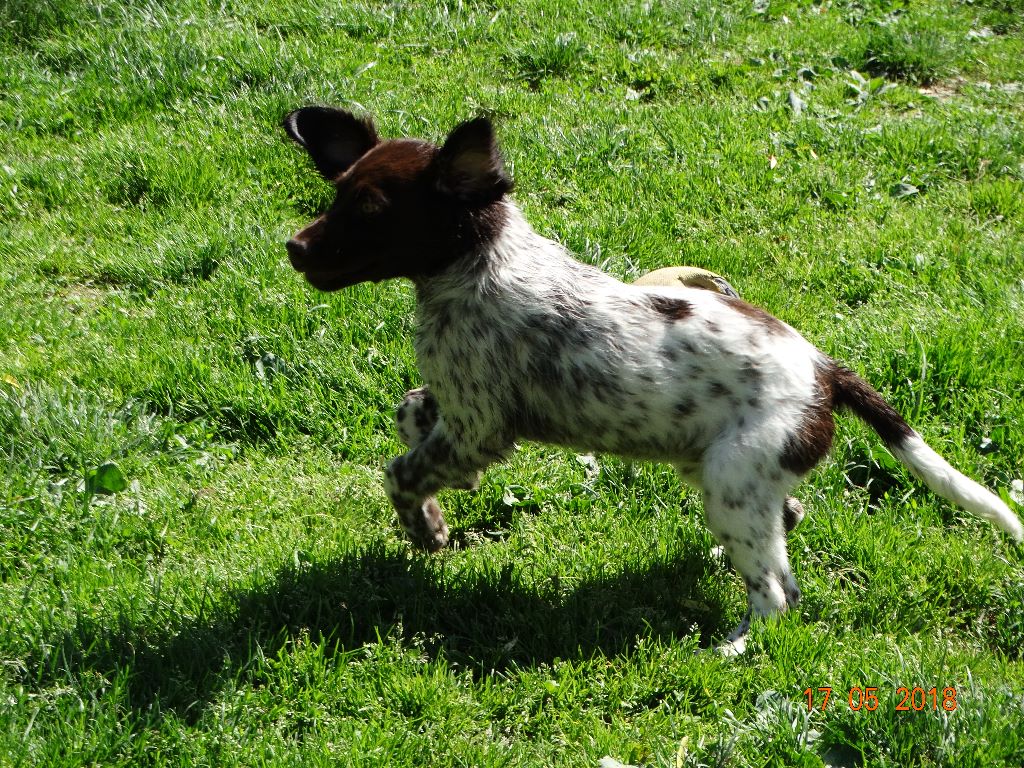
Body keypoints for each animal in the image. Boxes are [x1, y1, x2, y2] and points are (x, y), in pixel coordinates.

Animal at [282, 107, 1024, 651]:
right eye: (337, 195)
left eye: (370, 211)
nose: (293, 248)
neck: (480, 265)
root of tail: (824, 371)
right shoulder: (460, 412)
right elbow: (411, 411)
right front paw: (435, 502)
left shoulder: (479, 425)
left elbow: (401, 471)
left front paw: (425, 530)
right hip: (732, 478)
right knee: (786, 543)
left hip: (729, 484)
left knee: (775, 595)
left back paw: (730, 651)